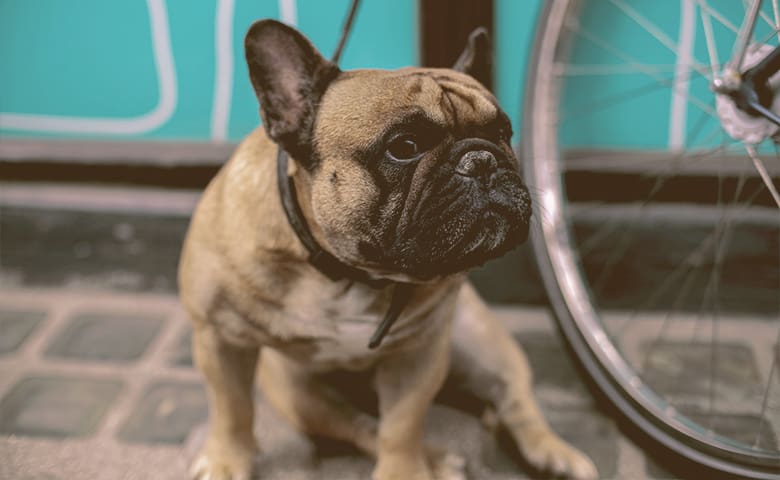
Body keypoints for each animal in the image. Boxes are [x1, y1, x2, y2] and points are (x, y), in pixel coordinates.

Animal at [181, 18, 596, 480]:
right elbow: (231, 408)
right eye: (404, 147)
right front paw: (225, 461)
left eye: (503, 134)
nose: (482, 160)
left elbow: (402, 425)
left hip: (483, 344)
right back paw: (437, 458)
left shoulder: (418, 354)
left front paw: (405, 470)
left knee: (513, 398)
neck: (346, 273)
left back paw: (554, 453)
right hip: (299, 393)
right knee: (360, 425)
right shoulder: (219, 337)